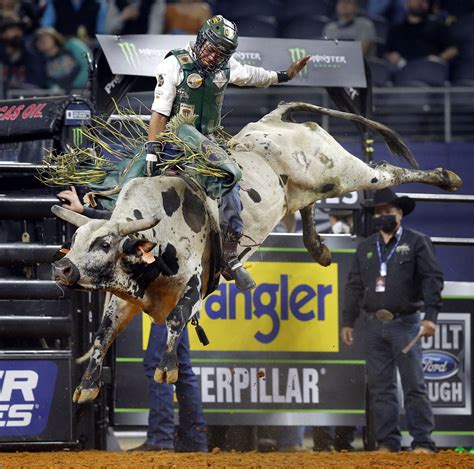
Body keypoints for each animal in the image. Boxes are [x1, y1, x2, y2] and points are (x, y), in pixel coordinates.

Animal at [50, 101, 462, 402]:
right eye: (76, 239)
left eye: (104, 243)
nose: (62, 269)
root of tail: (275, 117)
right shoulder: (124, 299)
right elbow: (102, 335)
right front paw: (86, 386)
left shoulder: (194, 282)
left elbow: (177, 320)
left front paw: (167, 368)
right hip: (302, 189)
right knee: (309, 204)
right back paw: (319, 249)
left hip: (341, 172)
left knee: (385, 171)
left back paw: (446, 177)